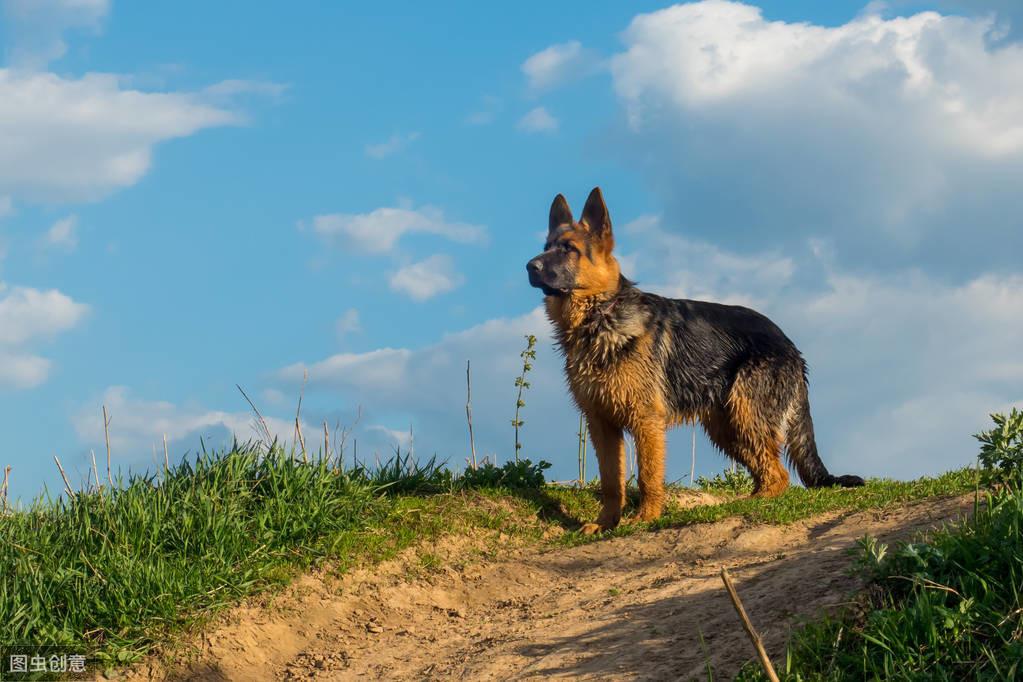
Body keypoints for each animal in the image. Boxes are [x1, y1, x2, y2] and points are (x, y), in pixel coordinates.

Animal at [527, 189, 863, 535]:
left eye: (569, 249)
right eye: (547, 247)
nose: (530, 266)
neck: (600, 316)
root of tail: (791, 347)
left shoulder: (646, 421)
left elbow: (648, 476)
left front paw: (645, 518)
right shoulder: (602, 425)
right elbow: (611, 482)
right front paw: (605, 523)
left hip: (744, 415)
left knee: (778, 476)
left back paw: (748, 504)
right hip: (727, 428)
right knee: (766, 471)